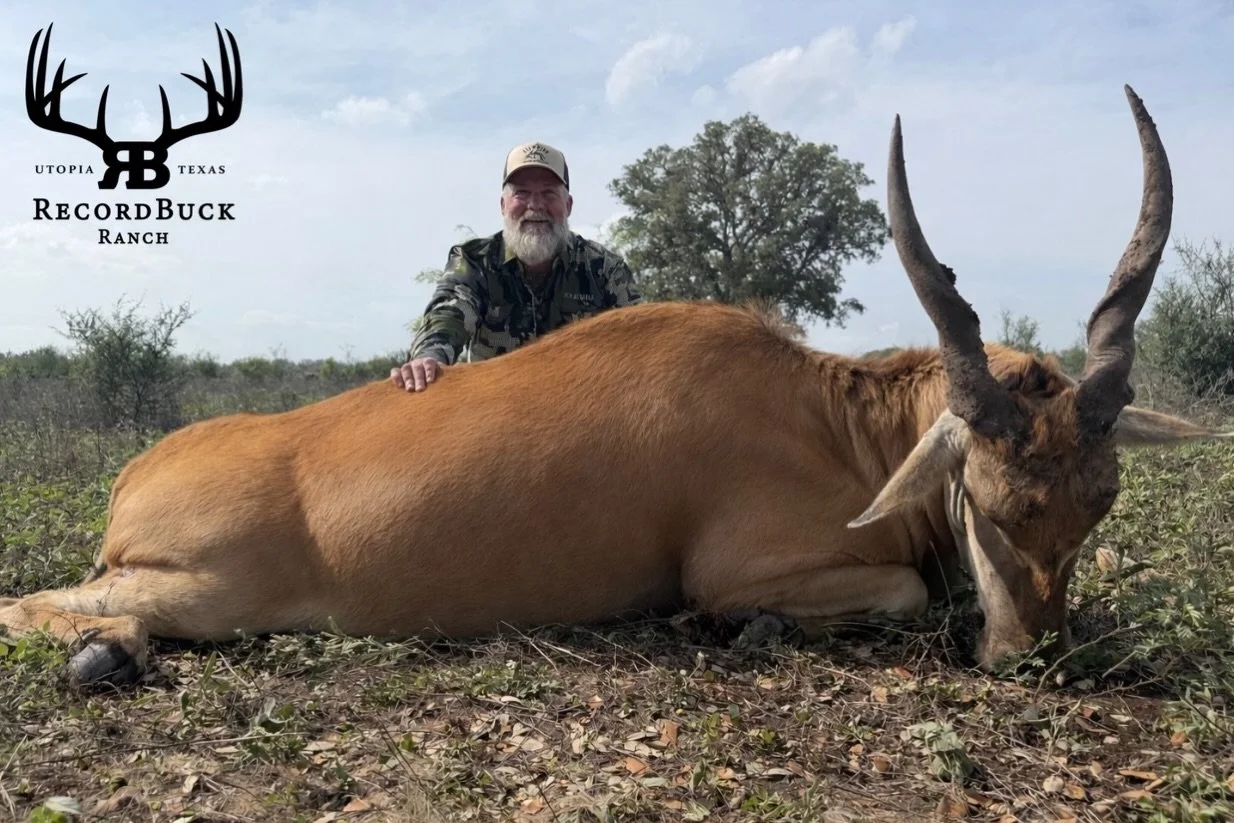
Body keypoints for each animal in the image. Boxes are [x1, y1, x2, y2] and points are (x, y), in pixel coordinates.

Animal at [1, 85, 1227, 688]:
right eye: (983, 494)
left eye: (1097, 505)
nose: (1036, 659)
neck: (831, 419)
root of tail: (134, 479)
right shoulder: (745, 568)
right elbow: (899, 593)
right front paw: (750, 631)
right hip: (201, 589)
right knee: (38, 604)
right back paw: (107, 653)